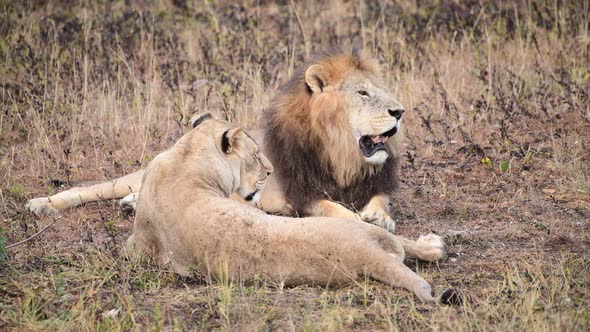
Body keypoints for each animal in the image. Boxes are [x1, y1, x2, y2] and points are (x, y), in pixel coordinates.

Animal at [28, 49, 408, 233]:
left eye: (382, 89)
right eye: (362, 93)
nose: (400, 110)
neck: (340, 153)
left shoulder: (373, 181)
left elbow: (380, 200)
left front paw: (380, 218)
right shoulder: (297, 195)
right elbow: (334, 209)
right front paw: (363, 222)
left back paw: (131, 204)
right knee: (91, 188)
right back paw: (42, 204)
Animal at [131, 113, 462, 304]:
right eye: (256, 155)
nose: (270, 171)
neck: (186, 156)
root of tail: (367, 256)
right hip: (358, 227)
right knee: (408, 244)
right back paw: (435, 244)